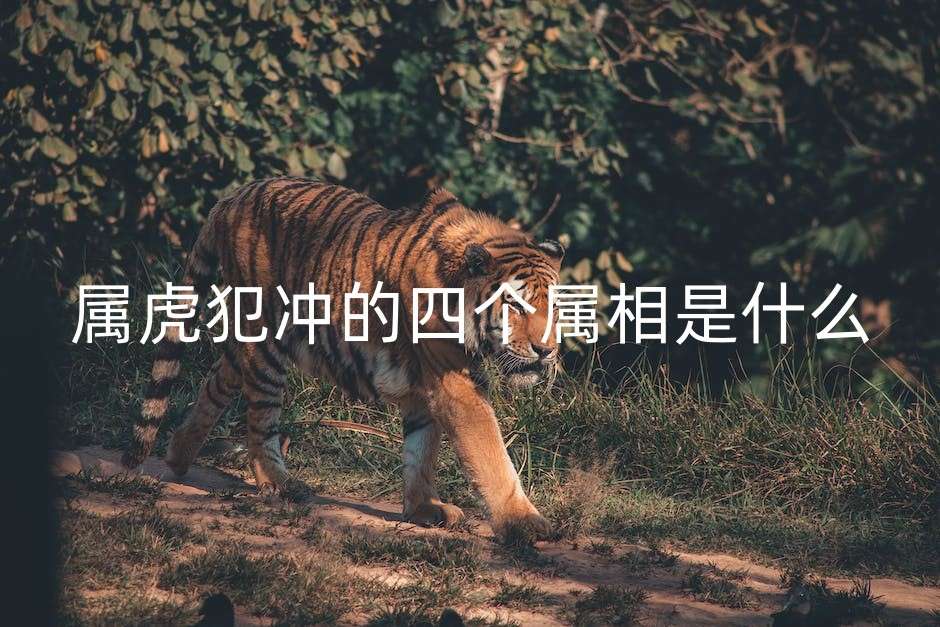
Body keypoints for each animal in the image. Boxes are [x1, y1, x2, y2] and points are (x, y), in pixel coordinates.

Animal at [121, 176, 564, 537]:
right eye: (517, 305)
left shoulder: (425, 385)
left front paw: (424, 509)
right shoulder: (455, 383)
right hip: (267, 342)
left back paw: (178, 455)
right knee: (260, 420)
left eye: (556, 306)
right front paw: (523, 522)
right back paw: (280, 483)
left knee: (217, 381)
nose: (546, 350)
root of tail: (233, 197)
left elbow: (421, 449)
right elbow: (490, 453)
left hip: (250, 341)